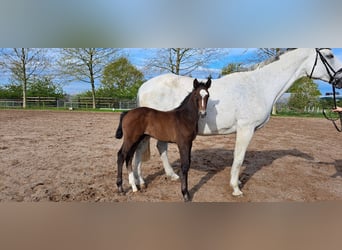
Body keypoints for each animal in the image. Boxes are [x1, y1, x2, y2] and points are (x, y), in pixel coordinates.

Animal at [132, 48, 340, 196]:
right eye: (329, 55)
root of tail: (144, 86)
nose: (340, 79)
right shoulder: (245, 129)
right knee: (141, 151)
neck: (259, 86)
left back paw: (169, 176)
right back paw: (139, 183)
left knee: (158, 148)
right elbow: (238, 158)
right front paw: (236, 188)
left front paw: (238, 182)